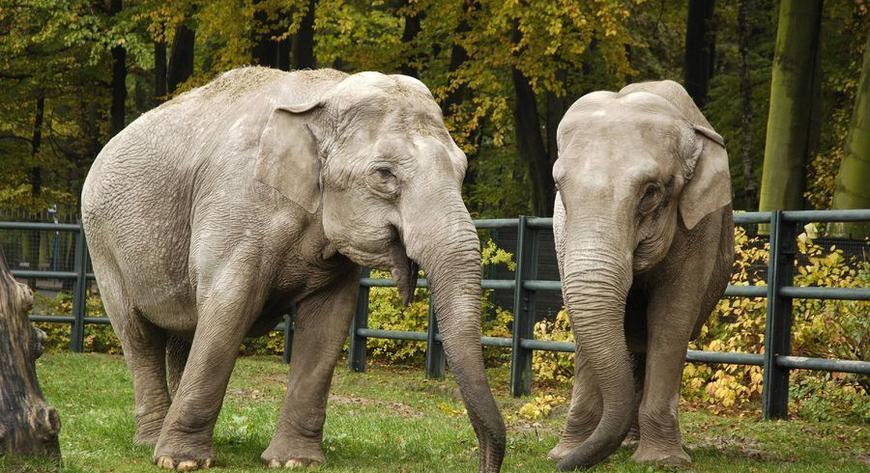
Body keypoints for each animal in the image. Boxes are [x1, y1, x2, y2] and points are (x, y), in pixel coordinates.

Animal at [81, 67, 508, 472]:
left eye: (463, 169)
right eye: (384, 174)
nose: (482, 465)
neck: (324, 95)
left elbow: (328, 323)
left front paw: (293, 461)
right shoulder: (235, 207)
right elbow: (228, 308)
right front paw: (181, 462)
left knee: (182, 334)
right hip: (102, 244)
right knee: (138, 335)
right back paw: (149, 443)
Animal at [548, 81, 732, 468]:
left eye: (651, 193)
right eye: (559, 189)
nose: (559, 467)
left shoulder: (700, 227)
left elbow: (671, 319)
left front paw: (663, 462)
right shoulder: (562, 231)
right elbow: (580, 314)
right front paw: (566, 452)